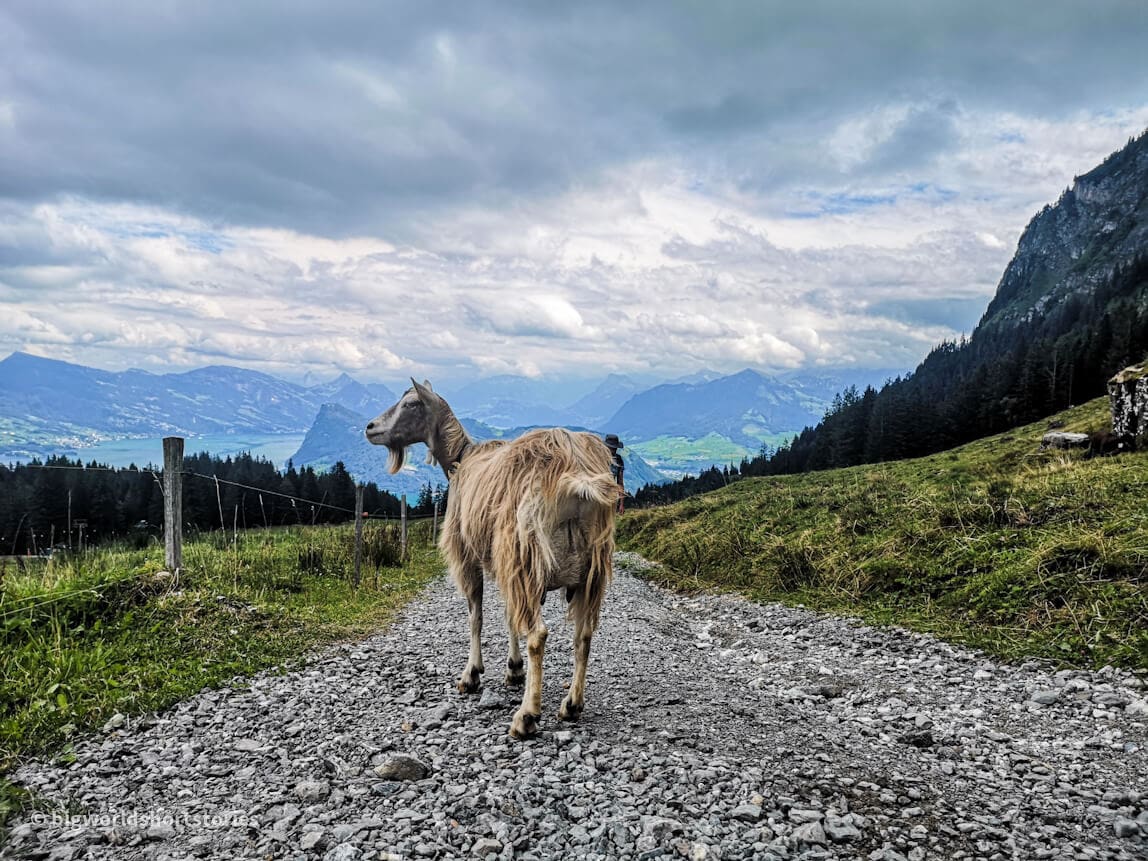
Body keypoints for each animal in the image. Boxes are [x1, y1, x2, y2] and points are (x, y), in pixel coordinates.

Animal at [367, 381, 619, 739]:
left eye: (411, 403)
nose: (370, 428)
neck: (461, 460)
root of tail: (574, 478)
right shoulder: (503, 564)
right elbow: (509, 616)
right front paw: (513, 670)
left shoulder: (468, 554)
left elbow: (477, 615)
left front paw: (471, 674)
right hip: (589, 571)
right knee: (583, 635)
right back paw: (571, 704)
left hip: (527, 556)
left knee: (538, 634)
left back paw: (527, 716)